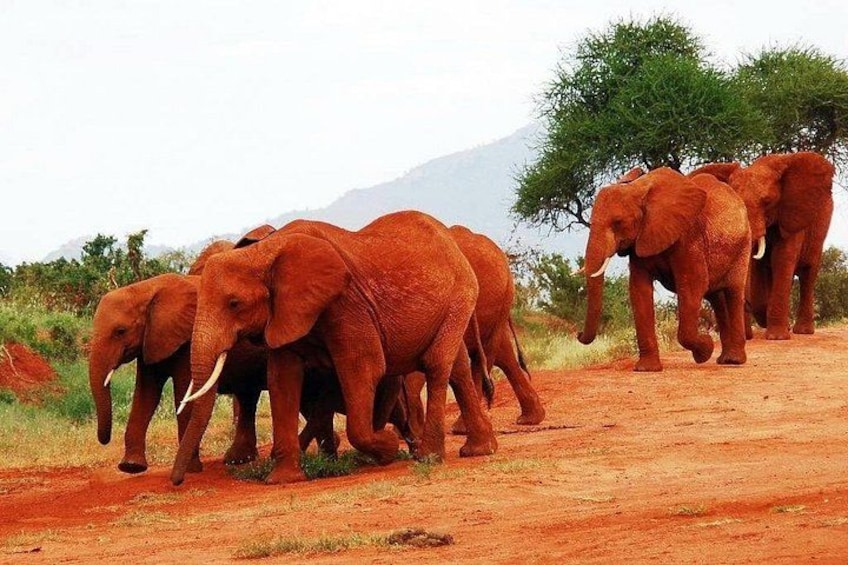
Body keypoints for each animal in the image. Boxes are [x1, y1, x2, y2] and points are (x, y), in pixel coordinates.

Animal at [171, 211, 498, 486]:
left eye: (234, 303)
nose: (177, 481)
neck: (265, 252)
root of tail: (450, 239)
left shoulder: (347, 303)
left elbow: (363, 366)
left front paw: (386, 448)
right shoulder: (286, 312)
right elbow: (282, 379)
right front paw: (284, 479)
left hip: (460, 295)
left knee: (436, 364)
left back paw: (428, 456)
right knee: (457, 368)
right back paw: (479, 449)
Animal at [577, 167, 751, 372]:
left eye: (617, 222)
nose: (578, 334)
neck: (639, 190)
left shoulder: (688, 237)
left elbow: (692, 285)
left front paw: (705, 350)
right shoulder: (640, 241)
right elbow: (639, 290)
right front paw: (646, 369)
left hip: (742, 245)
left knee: (733, 292)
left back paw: (734, 361)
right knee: (716, 298)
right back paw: (724, 359)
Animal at [689, 152, 834, 339]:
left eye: (767, 201)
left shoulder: (790, 216)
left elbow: (782, 259)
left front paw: (777, 338)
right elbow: (758, 265)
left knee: (808, 274)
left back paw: (803, 331)